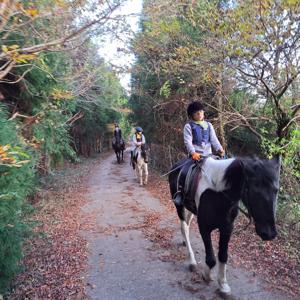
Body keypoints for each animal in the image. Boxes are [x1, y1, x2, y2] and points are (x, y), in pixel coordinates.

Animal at [169, 157, 282, 296]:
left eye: (276, 190)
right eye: (255, 189)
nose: (269, 233)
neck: (218, 192)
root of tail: (177, 164)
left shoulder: (227, 228)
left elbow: (223, 256)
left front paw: (223, 285)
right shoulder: (204, 227)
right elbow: (211, 259)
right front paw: (206, 276)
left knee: (187, 223)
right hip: (179, 205)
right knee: (184, 227)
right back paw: (192, 261)